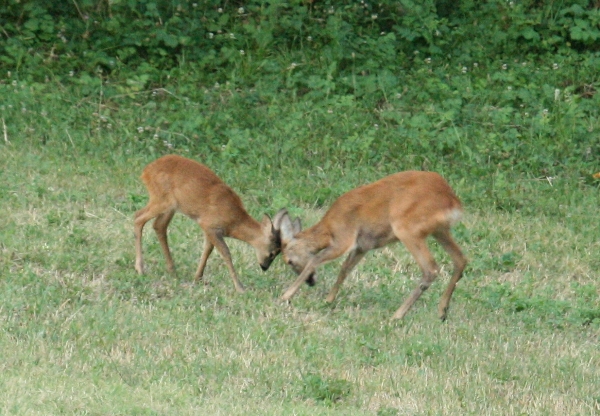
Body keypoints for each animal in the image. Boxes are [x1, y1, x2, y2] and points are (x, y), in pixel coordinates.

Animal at [136, 154, 286, 292]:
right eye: (273, 252)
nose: (264, 267)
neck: (235, 221)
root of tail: (145, 171)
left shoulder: (209, 230)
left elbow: (208, 250)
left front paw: (198, 277)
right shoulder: (209, 225)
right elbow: (226, 253)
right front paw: (240, 287)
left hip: (170, 206)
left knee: (158, 225)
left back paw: (172, 270)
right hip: (162, 200)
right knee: (138, 217)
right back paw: (140, 269)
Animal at [278, 171, 466, 320]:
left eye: (289, 261)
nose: (311, 282)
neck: (328, 228)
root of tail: (453, 201)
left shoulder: (344, 238)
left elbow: (316, 259)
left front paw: (285, 295)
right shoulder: (363, 246)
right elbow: (345, 268)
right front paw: (329, 300)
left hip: (406, 227)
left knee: (431, 269)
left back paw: (397, 315)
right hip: (439, 230)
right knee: (461, 259)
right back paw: (442, 311)